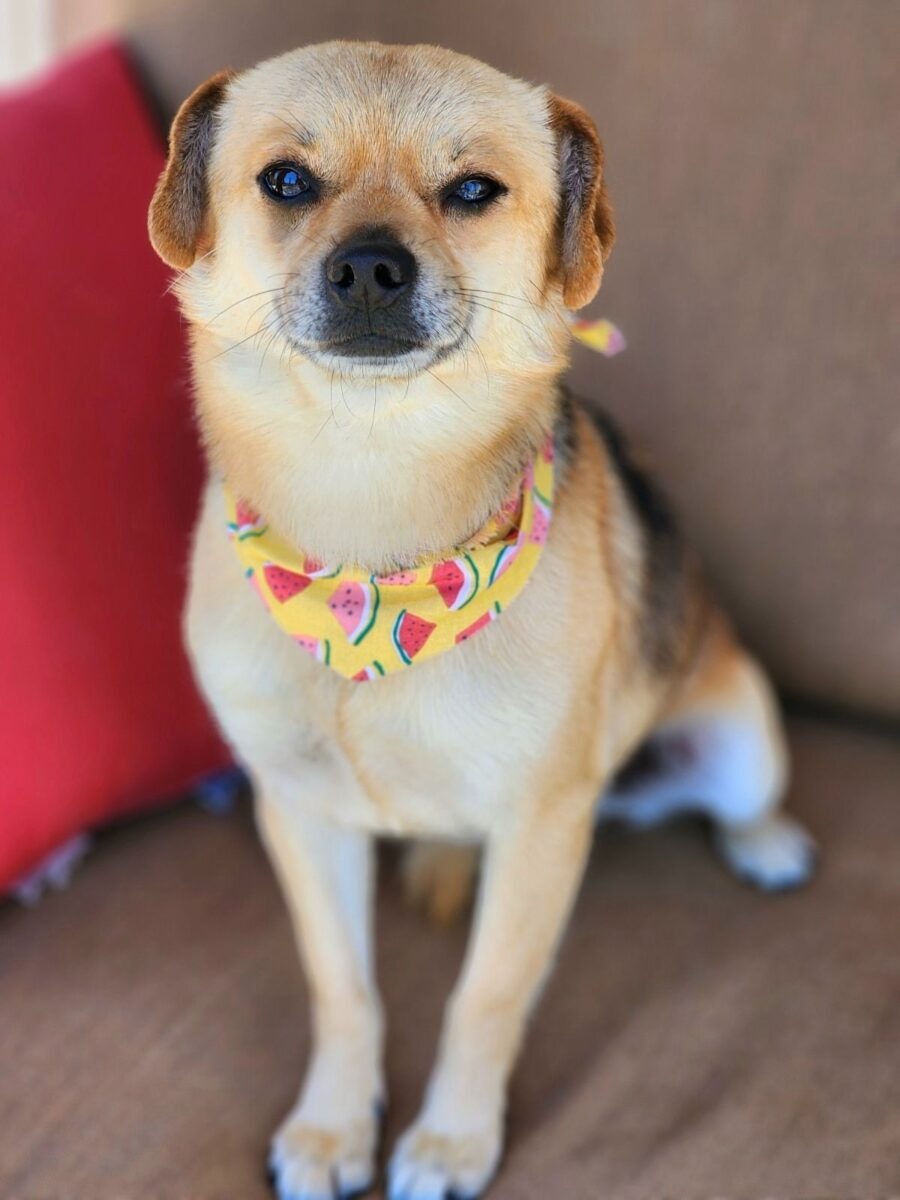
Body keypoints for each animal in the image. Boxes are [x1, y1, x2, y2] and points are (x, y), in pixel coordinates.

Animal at [148, 39, 816, 1200]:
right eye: (286, 180)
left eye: (471, 192)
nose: (371, 267)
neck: (369, 518)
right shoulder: (300, 812)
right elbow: (342, 990)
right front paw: (334, 1129)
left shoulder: (541, 829)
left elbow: (485, 999)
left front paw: (452, 1142)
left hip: (737, 737)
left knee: (740, 798)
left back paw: (767, 841)